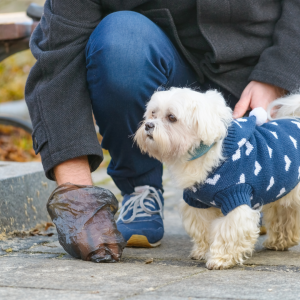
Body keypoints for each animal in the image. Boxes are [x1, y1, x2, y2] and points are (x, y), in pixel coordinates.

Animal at [135, 86, 300, 270]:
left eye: (172, 117)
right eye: (153, 113)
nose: (148, 125)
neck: (205, 153)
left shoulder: (235, 196)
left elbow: (229, 231)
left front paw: (221, 259)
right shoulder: (198, 203)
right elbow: (203, 228)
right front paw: (202, 251)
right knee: (285, 215)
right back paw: (280, 242)